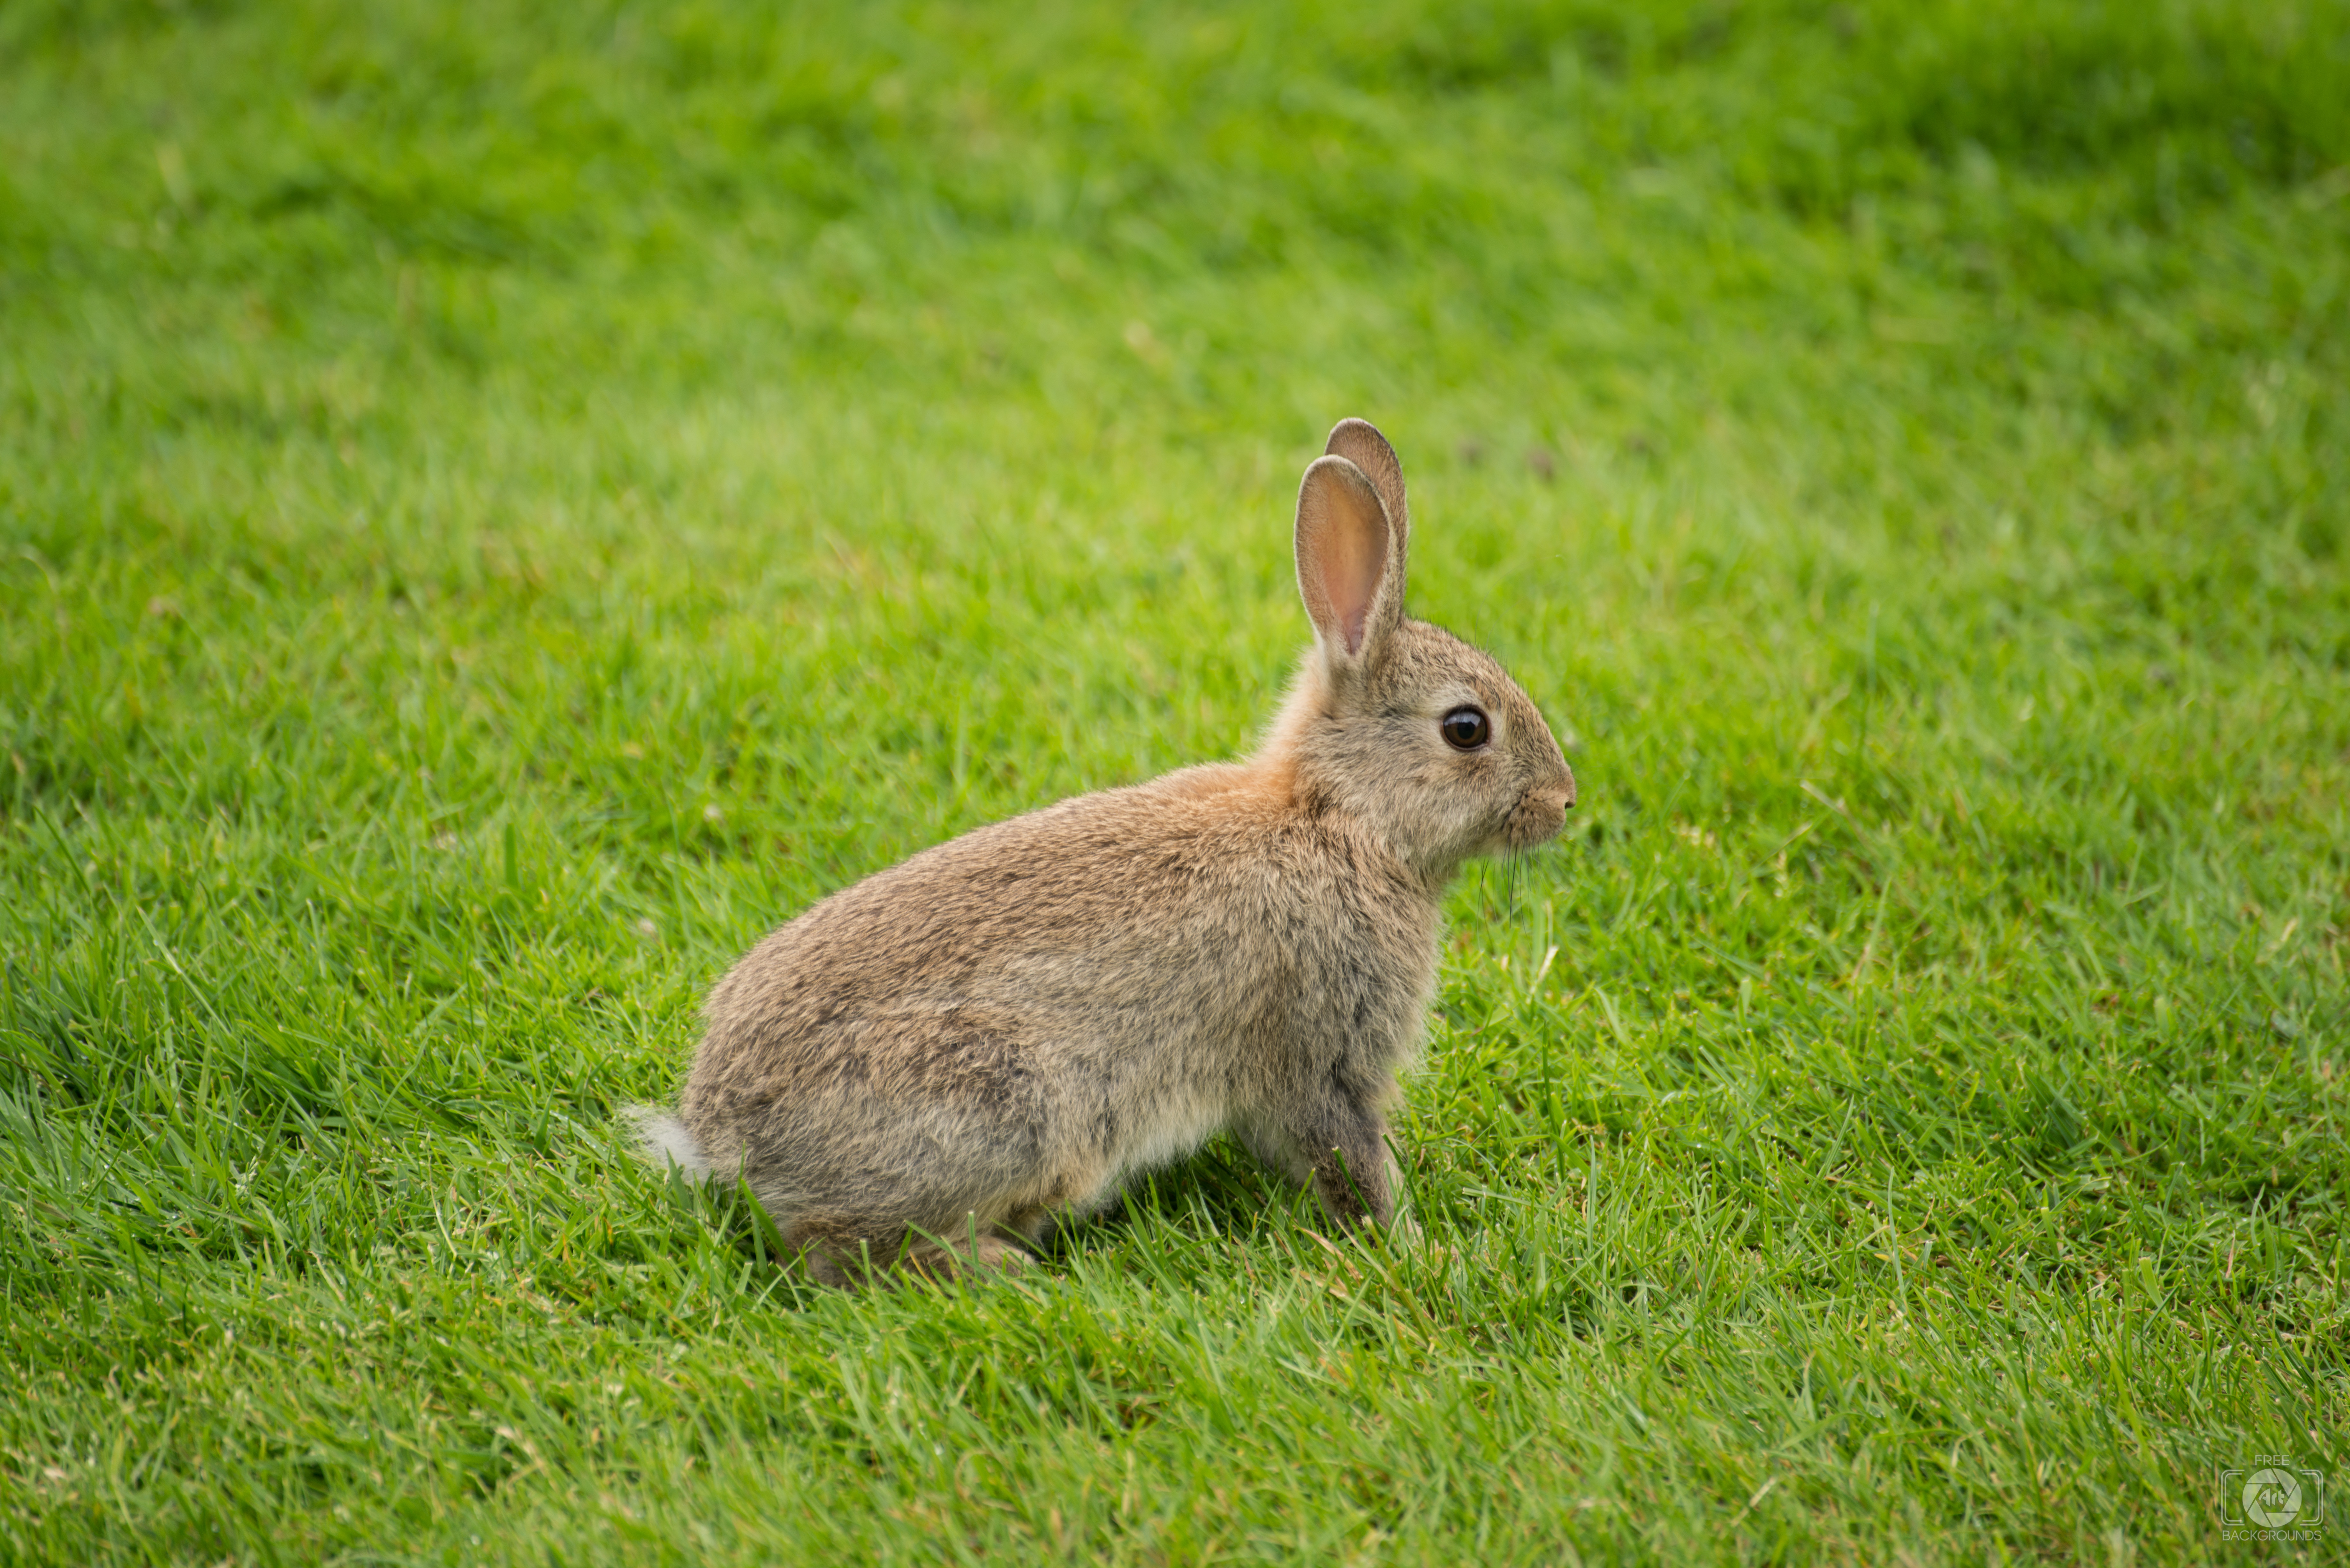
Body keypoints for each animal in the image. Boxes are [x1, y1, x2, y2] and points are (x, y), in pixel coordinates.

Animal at [630, 421, 1579, 1288]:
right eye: (1467, 728)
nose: (1565, 801)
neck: (1338, 819)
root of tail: (718, 1138)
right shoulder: (1321, 1047)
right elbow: (1353, 1161)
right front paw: (1421, 1249)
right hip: (1015, 1106)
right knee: (834, 1249)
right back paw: (1000, 1263)